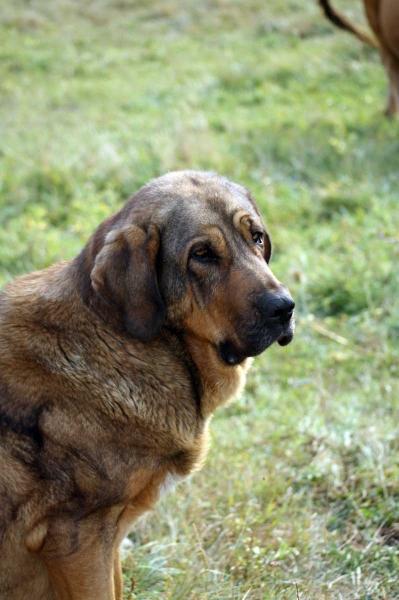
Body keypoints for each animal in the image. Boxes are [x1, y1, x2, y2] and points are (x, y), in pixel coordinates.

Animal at [0, 171, 294, 596]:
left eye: (256, 237)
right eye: (201, 254)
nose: (284, 308)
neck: (122, 338)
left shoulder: (107, 542)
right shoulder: (77, 539)